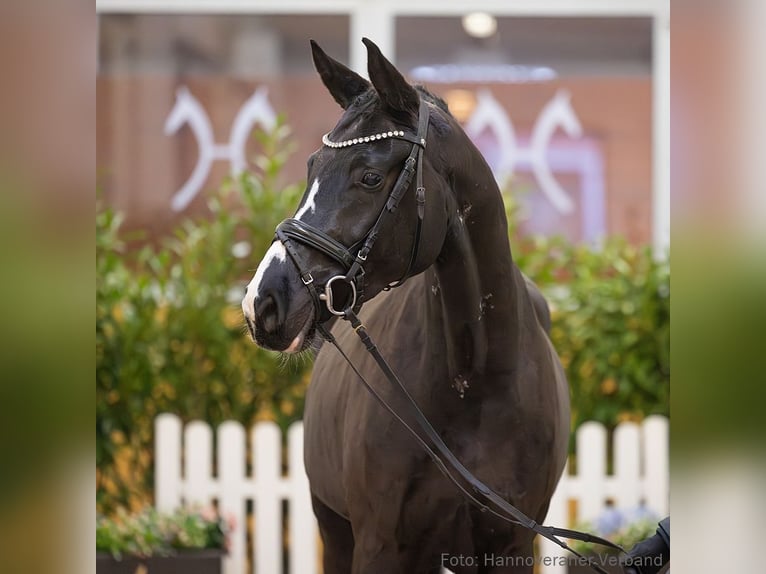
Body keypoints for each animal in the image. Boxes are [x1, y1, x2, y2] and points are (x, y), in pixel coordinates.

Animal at [242, 38, 570, 574]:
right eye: (311, 167)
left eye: (371, 177)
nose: (263, 302)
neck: (474, 380)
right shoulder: (380, 543)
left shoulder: (511, 546)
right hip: (337, 530)